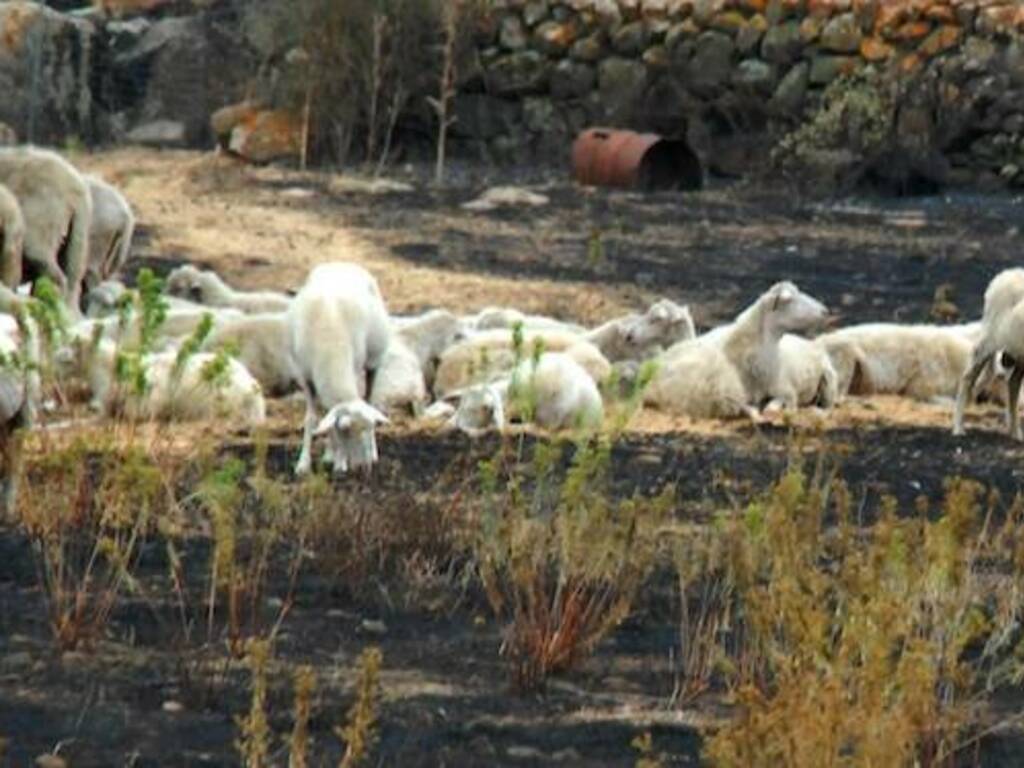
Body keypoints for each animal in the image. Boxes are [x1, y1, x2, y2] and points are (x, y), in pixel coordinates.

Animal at [290, 264, 393, 475]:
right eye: (345, 429)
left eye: (369, 426)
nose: (363, 467)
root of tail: (342, 263)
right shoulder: (304, 376)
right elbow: (312, 419)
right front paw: (304, 464)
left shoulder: (354, 366)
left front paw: (339, 461)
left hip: (374, 362)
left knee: (370, 399)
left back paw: (372, 452)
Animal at [954, 268, 1024, 438]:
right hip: (988, 341)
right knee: (968, 377)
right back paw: (958, 428)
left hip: (1017, 351)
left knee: (1013, 384)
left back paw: (1016, 433)